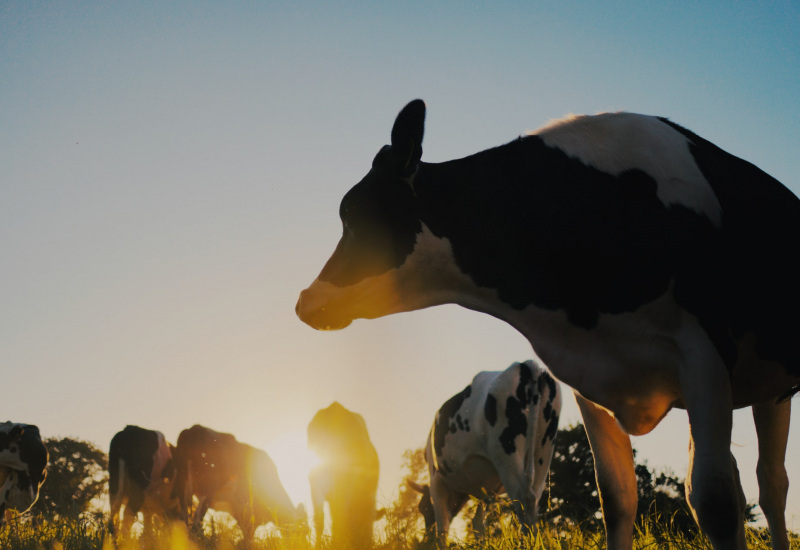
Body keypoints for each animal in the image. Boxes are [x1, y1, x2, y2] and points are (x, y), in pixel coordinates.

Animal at [173, 426, 304, 544]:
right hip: (208, 489)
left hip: (183, 485)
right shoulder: (249, 507)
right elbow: (249, 532)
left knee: (184, 517)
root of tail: (193, 429)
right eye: (304, 530)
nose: (301, 542)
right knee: (196, 519)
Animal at [410, 360, 560, 544]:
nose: (426, 539)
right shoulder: (489, 491)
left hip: (506, 453)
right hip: (543, 454)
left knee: (523, 498)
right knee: (534, 497)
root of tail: (526, 365)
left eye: (422, 508)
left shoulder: (436, 479)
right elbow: (478, 524)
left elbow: (442, 530)